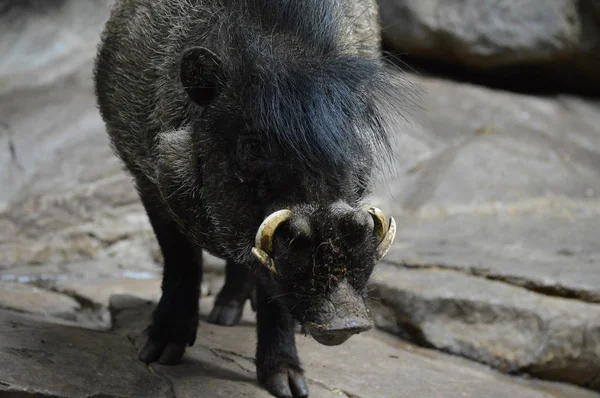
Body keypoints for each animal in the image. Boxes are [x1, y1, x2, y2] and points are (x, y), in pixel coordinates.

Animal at [94, 1, 410, 396]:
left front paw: (289, 387)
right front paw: (157, 355)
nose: (347, 319)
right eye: (252, 144)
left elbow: (271, 292)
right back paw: (221, 318)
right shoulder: (148, 177)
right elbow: (180, 259)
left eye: (350, 139)